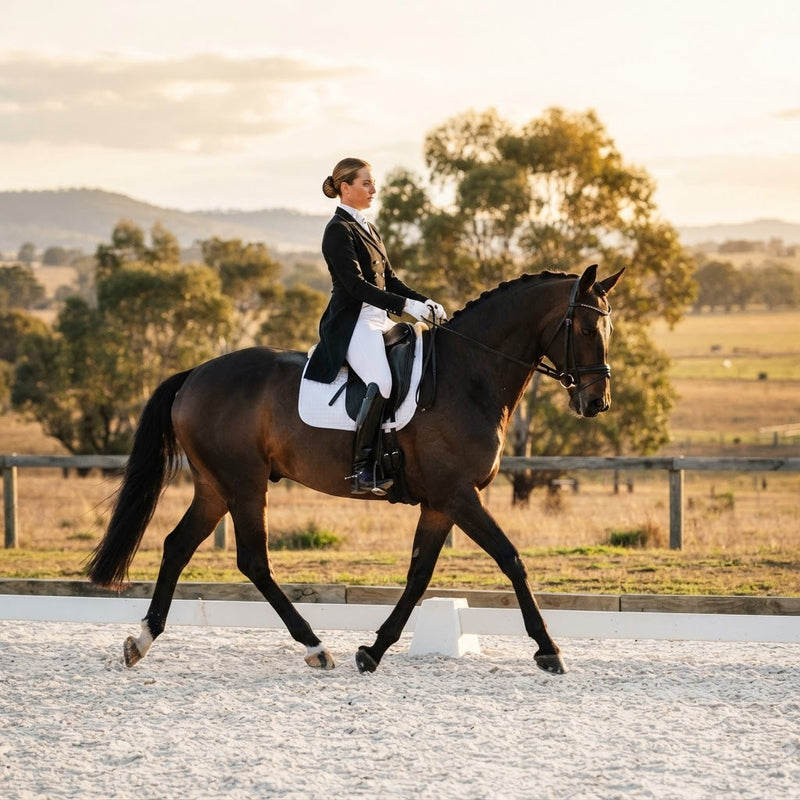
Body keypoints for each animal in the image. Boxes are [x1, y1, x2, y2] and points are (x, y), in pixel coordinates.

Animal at [87, 263, 624, 675]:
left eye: (608, 330)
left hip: (216, 486)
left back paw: (142, 641)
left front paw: (373, 650)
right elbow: (511, 558)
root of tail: (194, 374)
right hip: (243, 484)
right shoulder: (458, 495)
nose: (596, 402)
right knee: (253, 561)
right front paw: (548, 650)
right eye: (585, 329)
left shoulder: (440, 503)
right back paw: (314, 646)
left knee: (178, 545)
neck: (469, 376)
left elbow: (419, 576)